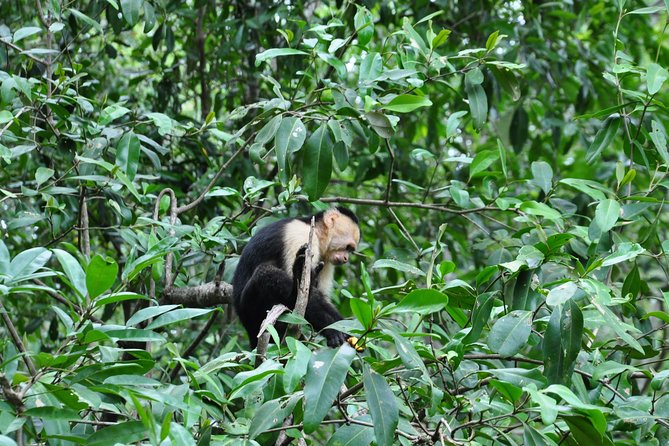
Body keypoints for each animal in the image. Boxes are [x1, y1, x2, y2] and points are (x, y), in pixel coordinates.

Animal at [234, 206, 360, 348]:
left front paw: (344, 328)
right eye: (348, 247)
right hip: (250, 308)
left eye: (350, 250)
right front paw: (331, 330)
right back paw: (294, 292)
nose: (346, 258)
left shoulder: (327, 260)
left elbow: (321, 296)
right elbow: (309, 298)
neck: (316, 232)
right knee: (265, 272)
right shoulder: (301, 236)